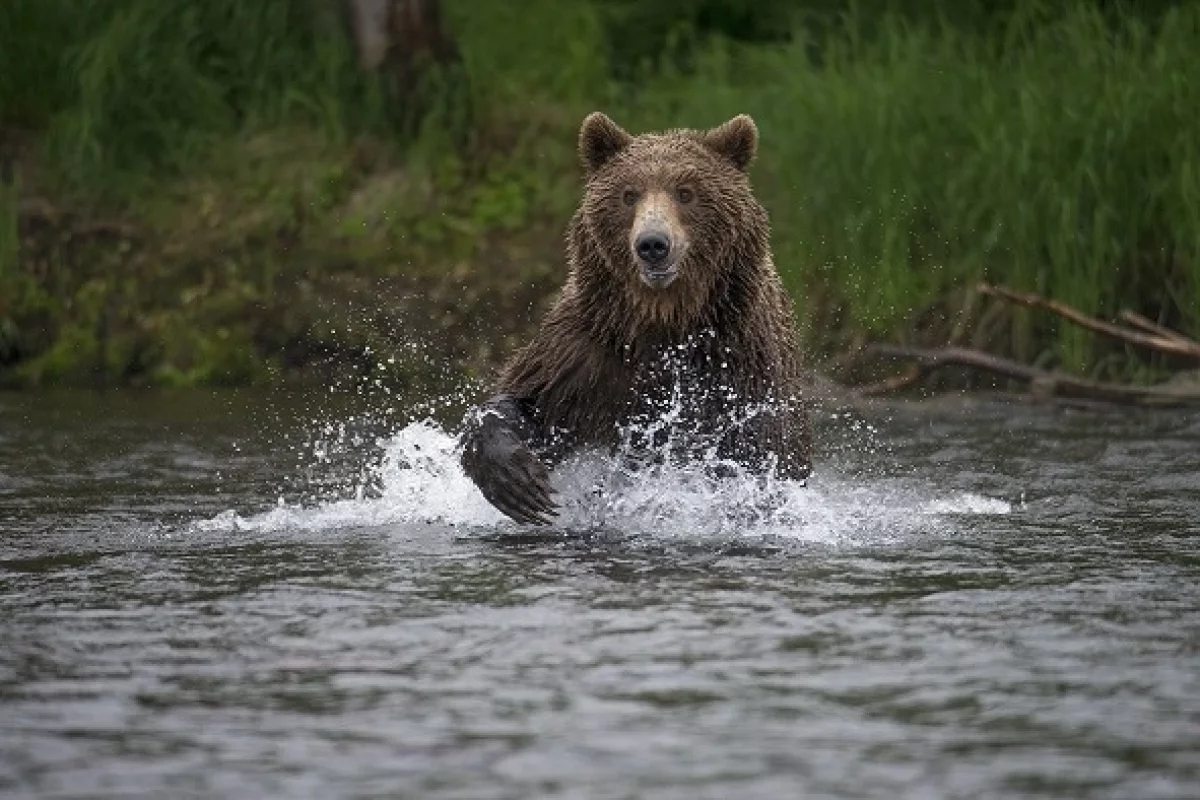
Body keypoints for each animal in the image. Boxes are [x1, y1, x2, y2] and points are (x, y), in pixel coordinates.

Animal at [458, 112, 816, 525]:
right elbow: (528, 401)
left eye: (686, 192)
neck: (662, 320)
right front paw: (518, 483)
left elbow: (753, 455)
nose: (653, 244)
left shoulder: (739, 365)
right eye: (629, 194)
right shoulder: (588, 352)